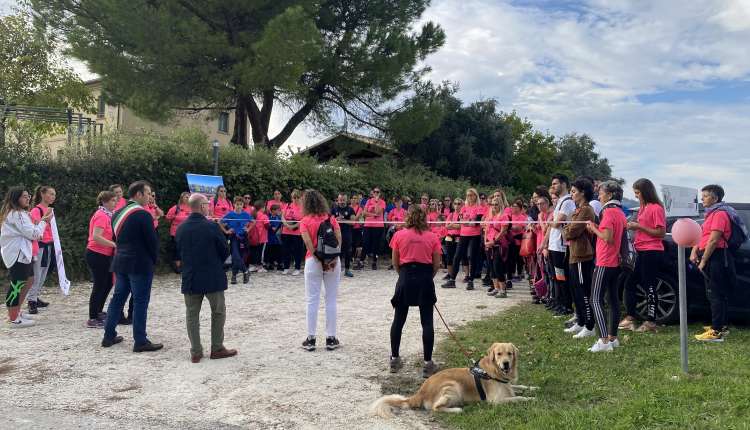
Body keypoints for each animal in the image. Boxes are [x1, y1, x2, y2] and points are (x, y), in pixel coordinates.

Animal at [368, 342, 536, 416]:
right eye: (499, 354)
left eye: (509, 353)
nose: (506, 364)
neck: (495, 371)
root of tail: (420, 392)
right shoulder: (495, 401)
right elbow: (518, 398)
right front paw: (531, 399)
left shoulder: (508, 385)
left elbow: (520, 387)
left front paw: (534, 388)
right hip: (453, 386)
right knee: (436, 408)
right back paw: (457, 409)